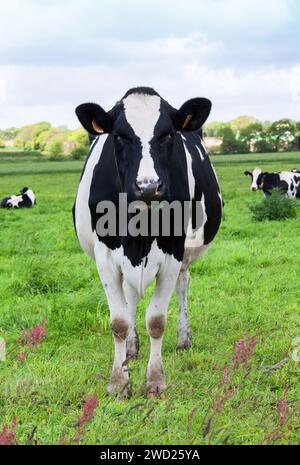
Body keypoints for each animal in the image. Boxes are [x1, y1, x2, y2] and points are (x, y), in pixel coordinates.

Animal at [73, 86, 223, 396]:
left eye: (167, 135)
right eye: (120, 136)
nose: (149, 186)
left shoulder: (173, 253)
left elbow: (156, 320)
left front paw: (155, 380)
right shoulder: (105, 257)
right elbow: (118, 321)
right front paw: (118, 381)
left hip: (186, 254)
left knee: (183, 285)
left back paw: (183, 339)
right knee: (130, 297)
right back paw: (131, 348)